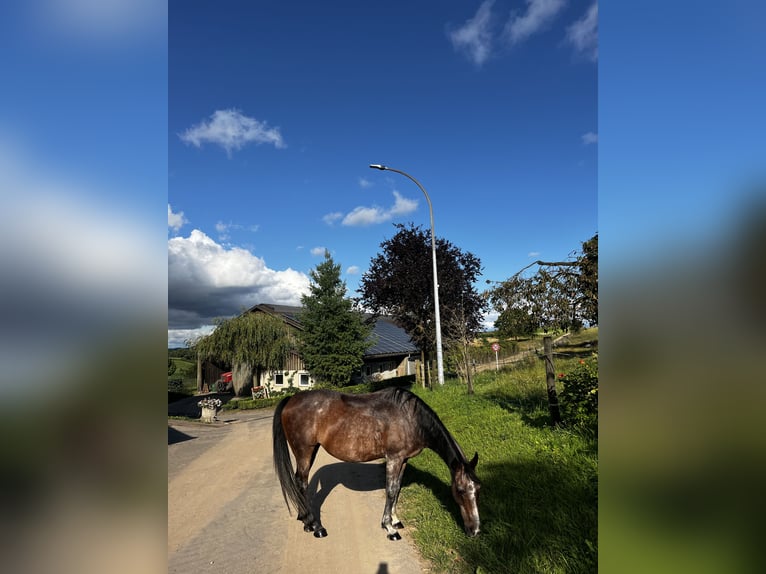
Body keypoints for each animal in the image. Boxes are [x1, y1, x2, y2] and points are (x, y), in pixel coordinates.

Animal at [272, 390, 484, 544]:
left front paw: (395, 521)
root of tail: (291, 399)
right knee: (301, 483)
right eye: (460, 490)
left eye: (478, 489)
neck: (410, 417)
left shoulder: (403, 460)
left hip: (311, 450)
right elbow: (390, 490)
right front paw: (389, 528)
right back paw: (316, 527)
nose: (475, 530)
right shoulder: (394, 459)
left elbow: (397, 489)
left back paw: (305, 520)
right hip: (304, 452)